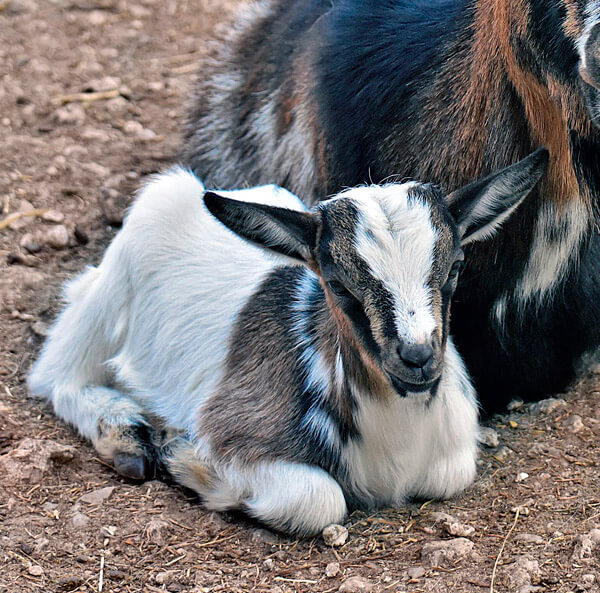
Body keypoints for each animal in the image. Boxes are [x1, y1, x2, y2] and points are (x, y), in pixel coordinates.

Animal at [31, 147, 548, 532]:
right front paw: (184, 459)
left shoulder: (451, 454)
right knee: (54, 374)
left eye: (455, 267)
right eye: (337, 283)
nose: (417, 357)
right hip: (105, 300)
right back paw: (126, 436)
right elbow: (320, 499)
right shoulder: (232, 427)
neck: (396, 448)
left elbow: (450, 473)